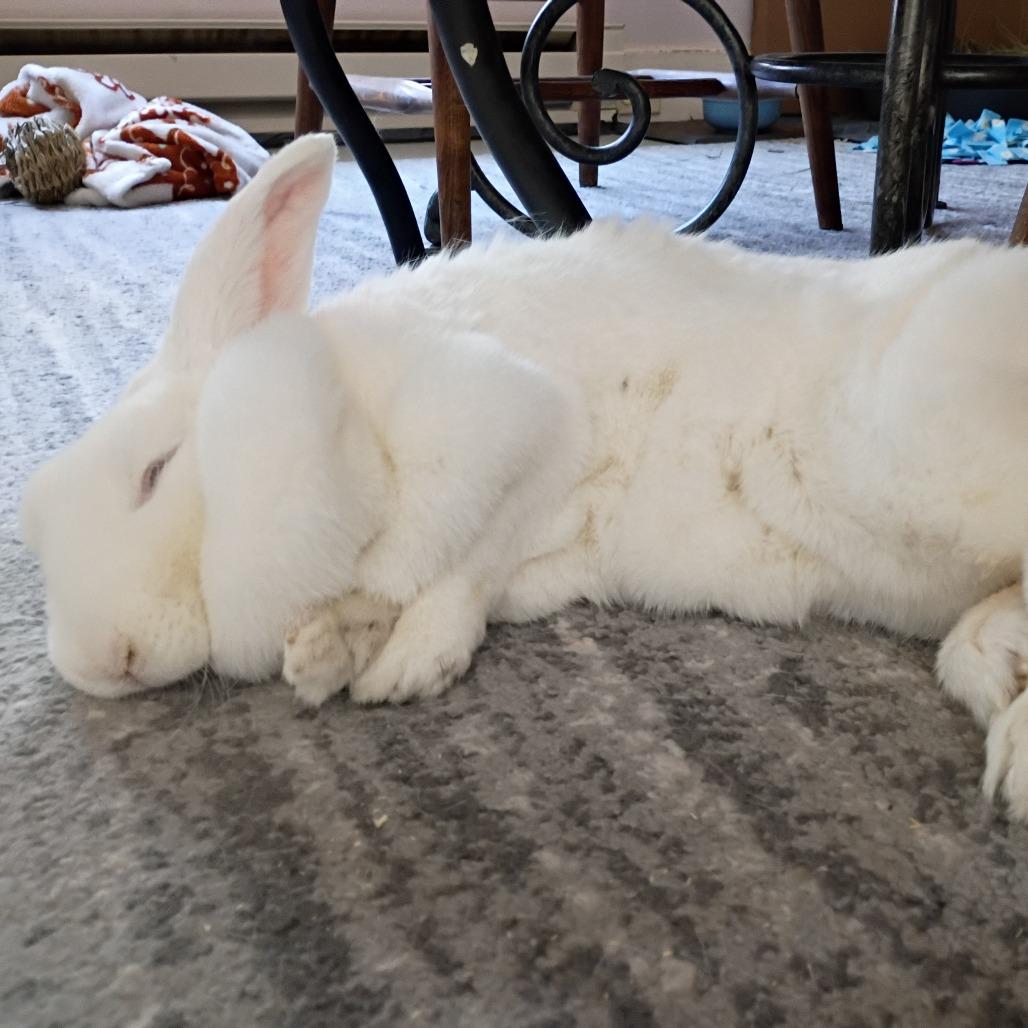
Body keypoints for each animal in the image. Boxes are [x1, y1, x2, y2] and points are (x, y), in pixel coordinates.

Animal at [19, 134, 1028, 819]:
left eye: (155, 472)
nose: (100, 661)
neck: (349, 408)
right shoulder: (533, 536)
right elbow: (457, 574)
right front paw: (340, 652)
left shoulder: (517, 425)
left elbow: (449, 561)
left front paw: (389, 662)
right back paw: (999, 683)